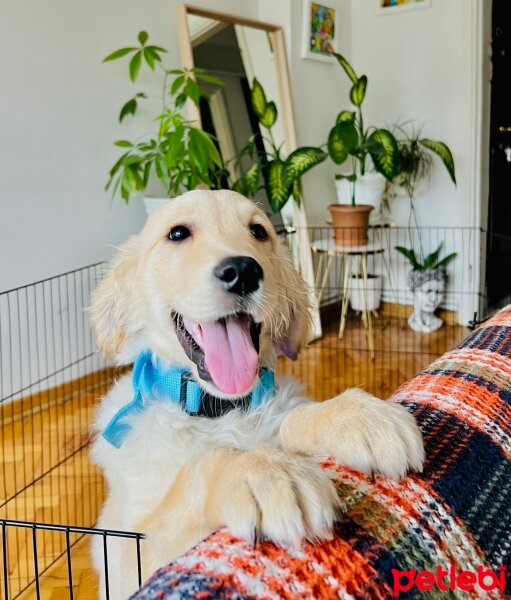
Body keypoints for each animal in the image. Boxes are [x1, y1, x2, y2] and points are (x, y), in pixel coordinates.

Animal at [89, 190, 424, 596]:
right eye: (178, 233)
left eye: (259, 231)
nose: (243, 271)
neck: (220, 408)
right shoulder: (132, 557)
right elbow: (198, 472)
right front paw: (264, 471)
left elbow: (293, 417)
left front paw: (357, 416)